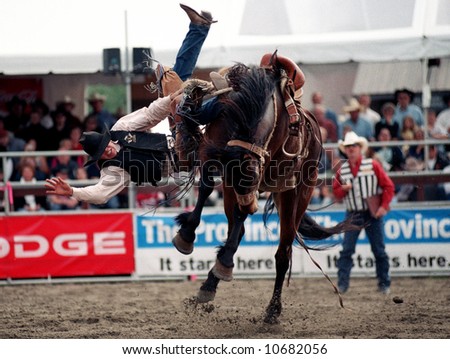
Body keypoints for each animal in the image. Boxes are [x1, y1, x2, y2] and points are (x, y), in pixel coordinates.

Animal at [171, 60, 356, 324]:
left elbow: (240, 215)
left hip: (295, 195)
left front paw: (221, 260)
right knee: (237, 231)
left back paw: (271, 308)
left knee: (282, 252)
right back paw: (209, 285)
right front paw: (186, 235)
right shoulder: (213, 153)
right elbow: (206, 188)